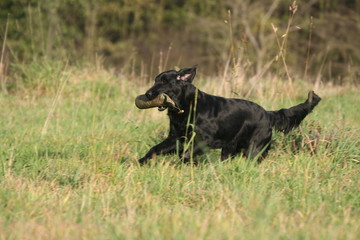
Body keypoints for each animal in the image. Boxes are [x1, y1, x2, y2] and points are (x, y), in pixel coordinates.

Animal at [139, 65, 320, 164]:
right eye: (155, 80)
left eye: (164, 82)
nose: (147, 94)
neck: (186, 105)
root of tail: (268, 114)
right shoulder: (176, 137)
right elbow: (155, 149)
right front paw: (140, 161)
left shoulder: (205, 138)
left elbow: (186, 155)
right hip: (230, 148)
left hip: (254, 147)